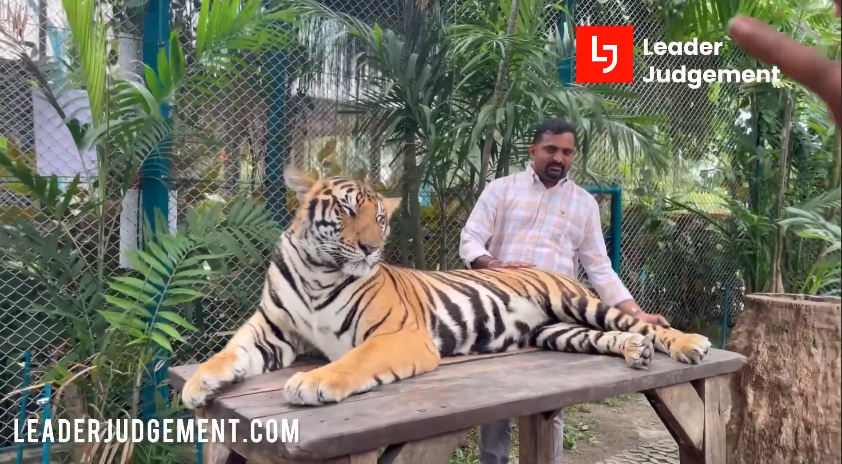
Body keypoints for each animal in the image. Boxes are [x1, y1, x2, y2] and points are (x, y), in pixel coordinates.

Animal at [180, 165, 711, 409]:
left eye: (379, 218)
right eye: (347, 210)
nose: (372, 248)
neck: (319, 270)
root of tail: (551, 267)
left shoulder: (398, 335)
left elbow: (353, 361)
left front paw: (312, 382)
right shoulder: (271, 332)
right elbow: (228, 353)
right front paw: (197, 384)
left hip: (578, 302)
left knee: (642, 322)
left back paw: (688, 344)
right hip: (556, 330)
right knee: (610, 335)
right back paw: (635, 352)